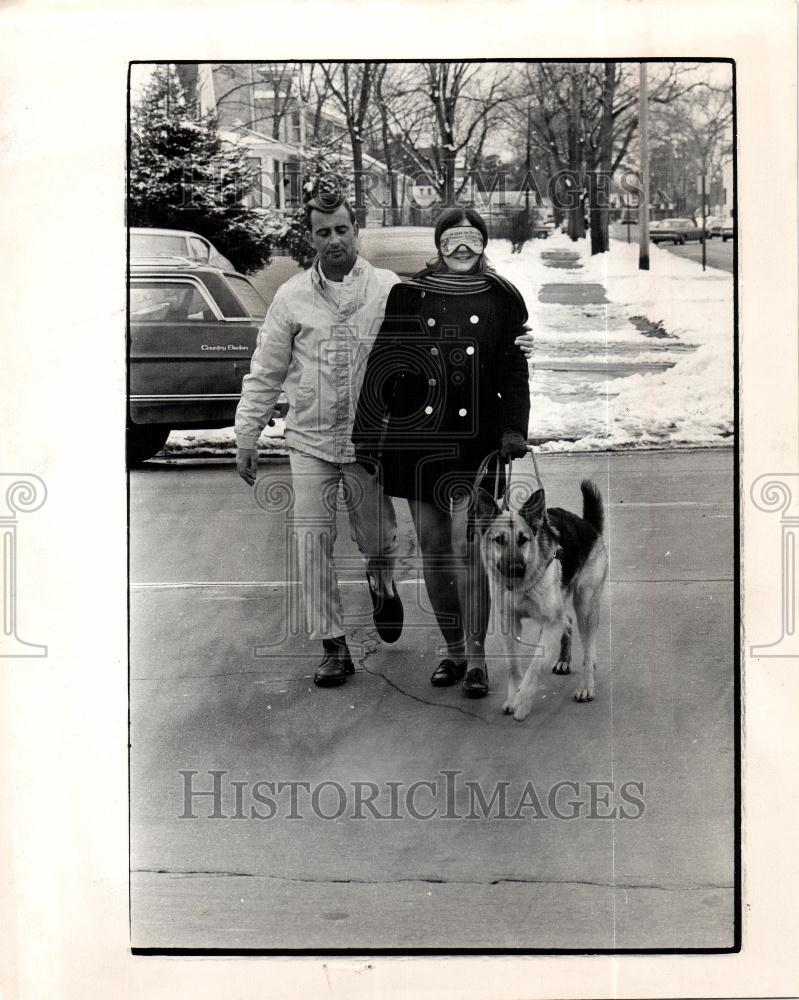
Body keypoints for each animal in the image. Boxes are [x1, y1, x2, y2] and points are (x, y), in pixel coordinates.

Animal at [478, 482, 608, 720]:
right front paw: (513, 698)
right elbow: (513, 665)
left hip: (585, 607)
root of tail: (588, 526)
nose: (516, 569)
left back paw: (586, 686)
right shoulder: (510, 624)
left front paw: (522, 701)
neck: (522, 586)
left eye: (523, 540)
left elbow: (535, 665)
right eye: (499, 540)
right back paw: (564, 660)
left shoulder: (551, 623)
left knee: (589, 652)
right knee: (568, 622)